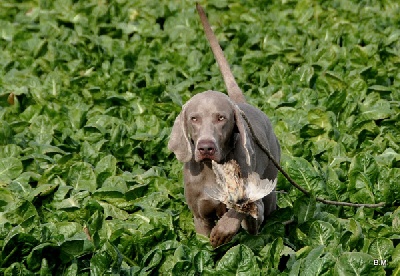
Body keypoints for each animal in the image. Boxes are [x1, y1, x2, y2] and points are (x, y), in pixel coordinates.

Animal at [169, 4, 282, 247]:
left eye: (221, 118)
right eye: (194, 118)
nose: (206, 147)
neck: (213, 169)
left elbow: (239, 210)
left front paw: (223, 230)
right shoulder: (200, 216)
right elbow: (203, 241)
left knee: (261, 210)